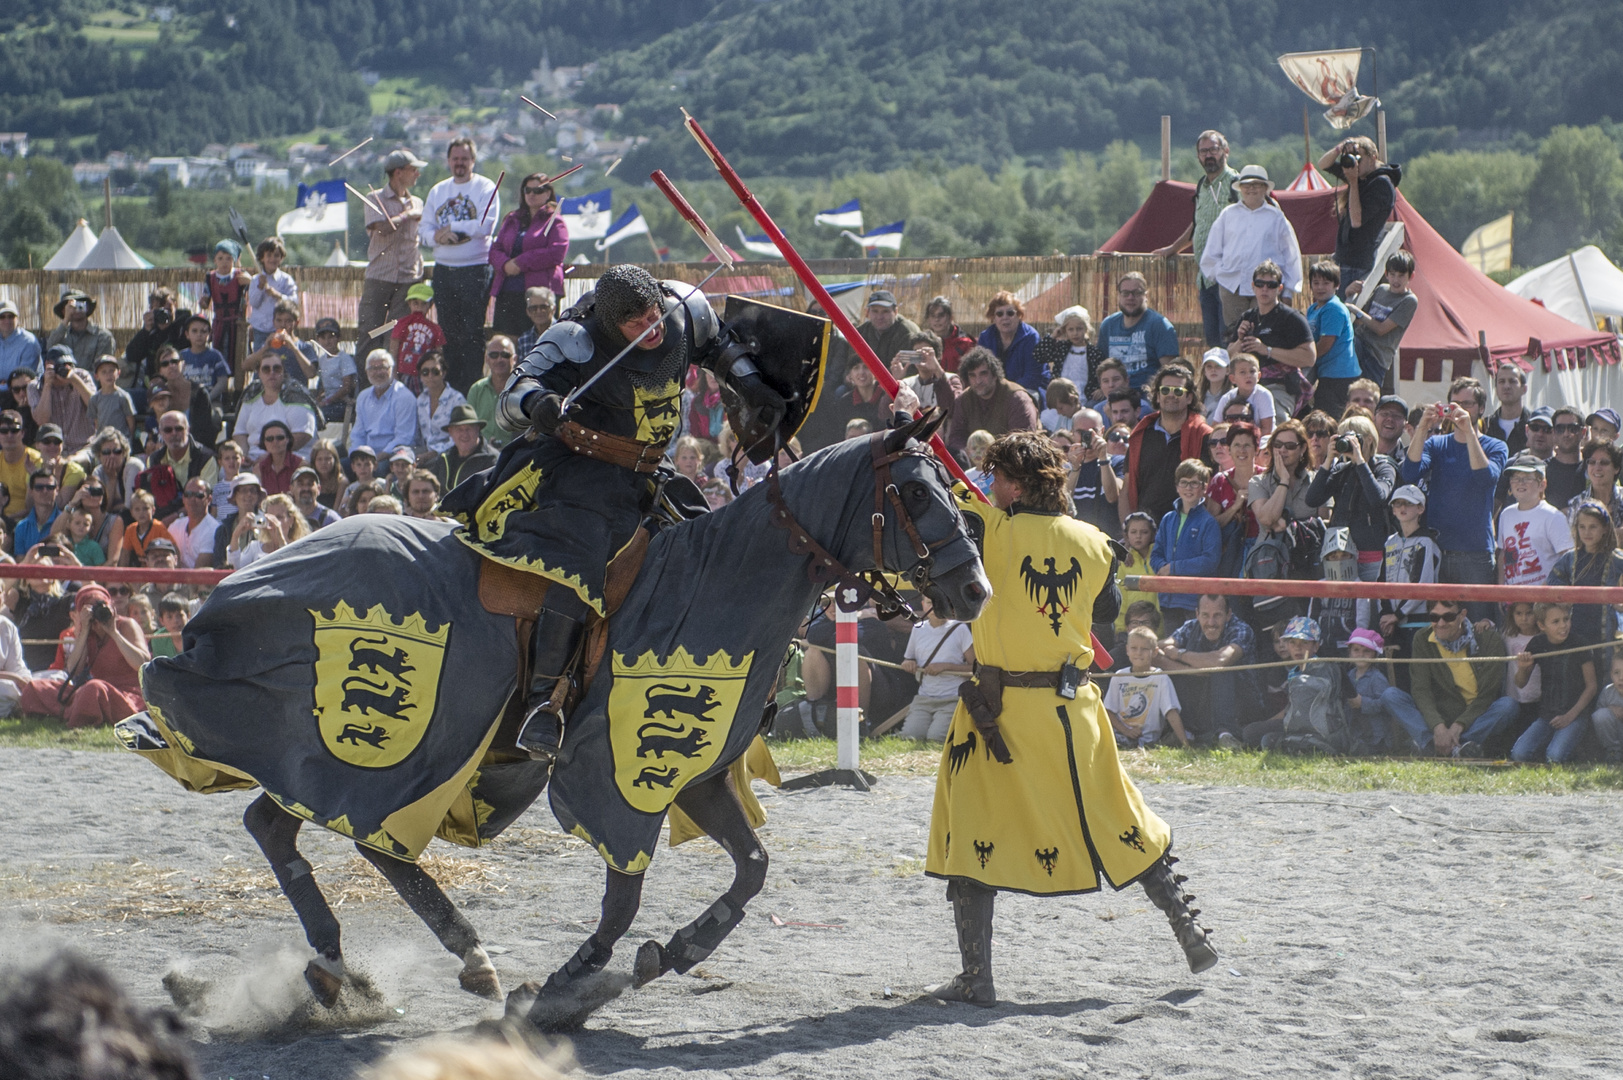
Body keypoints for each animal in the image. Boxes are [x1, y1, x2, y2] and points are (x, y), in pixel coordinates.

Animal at [123, 414, 986, 1026]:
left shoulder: (697, 780)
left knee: (291, 828)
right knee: (350, 835)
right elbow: (625, 895)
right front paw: (573, 983)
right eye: (913, 493)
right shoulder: (620, 777)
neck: (713, 582)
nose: (973, 587)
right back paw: (424, 962)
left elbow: (752, 867)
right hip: (386, 749)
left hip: (355, 757)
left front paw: (680, 950)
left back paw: (350, 970)